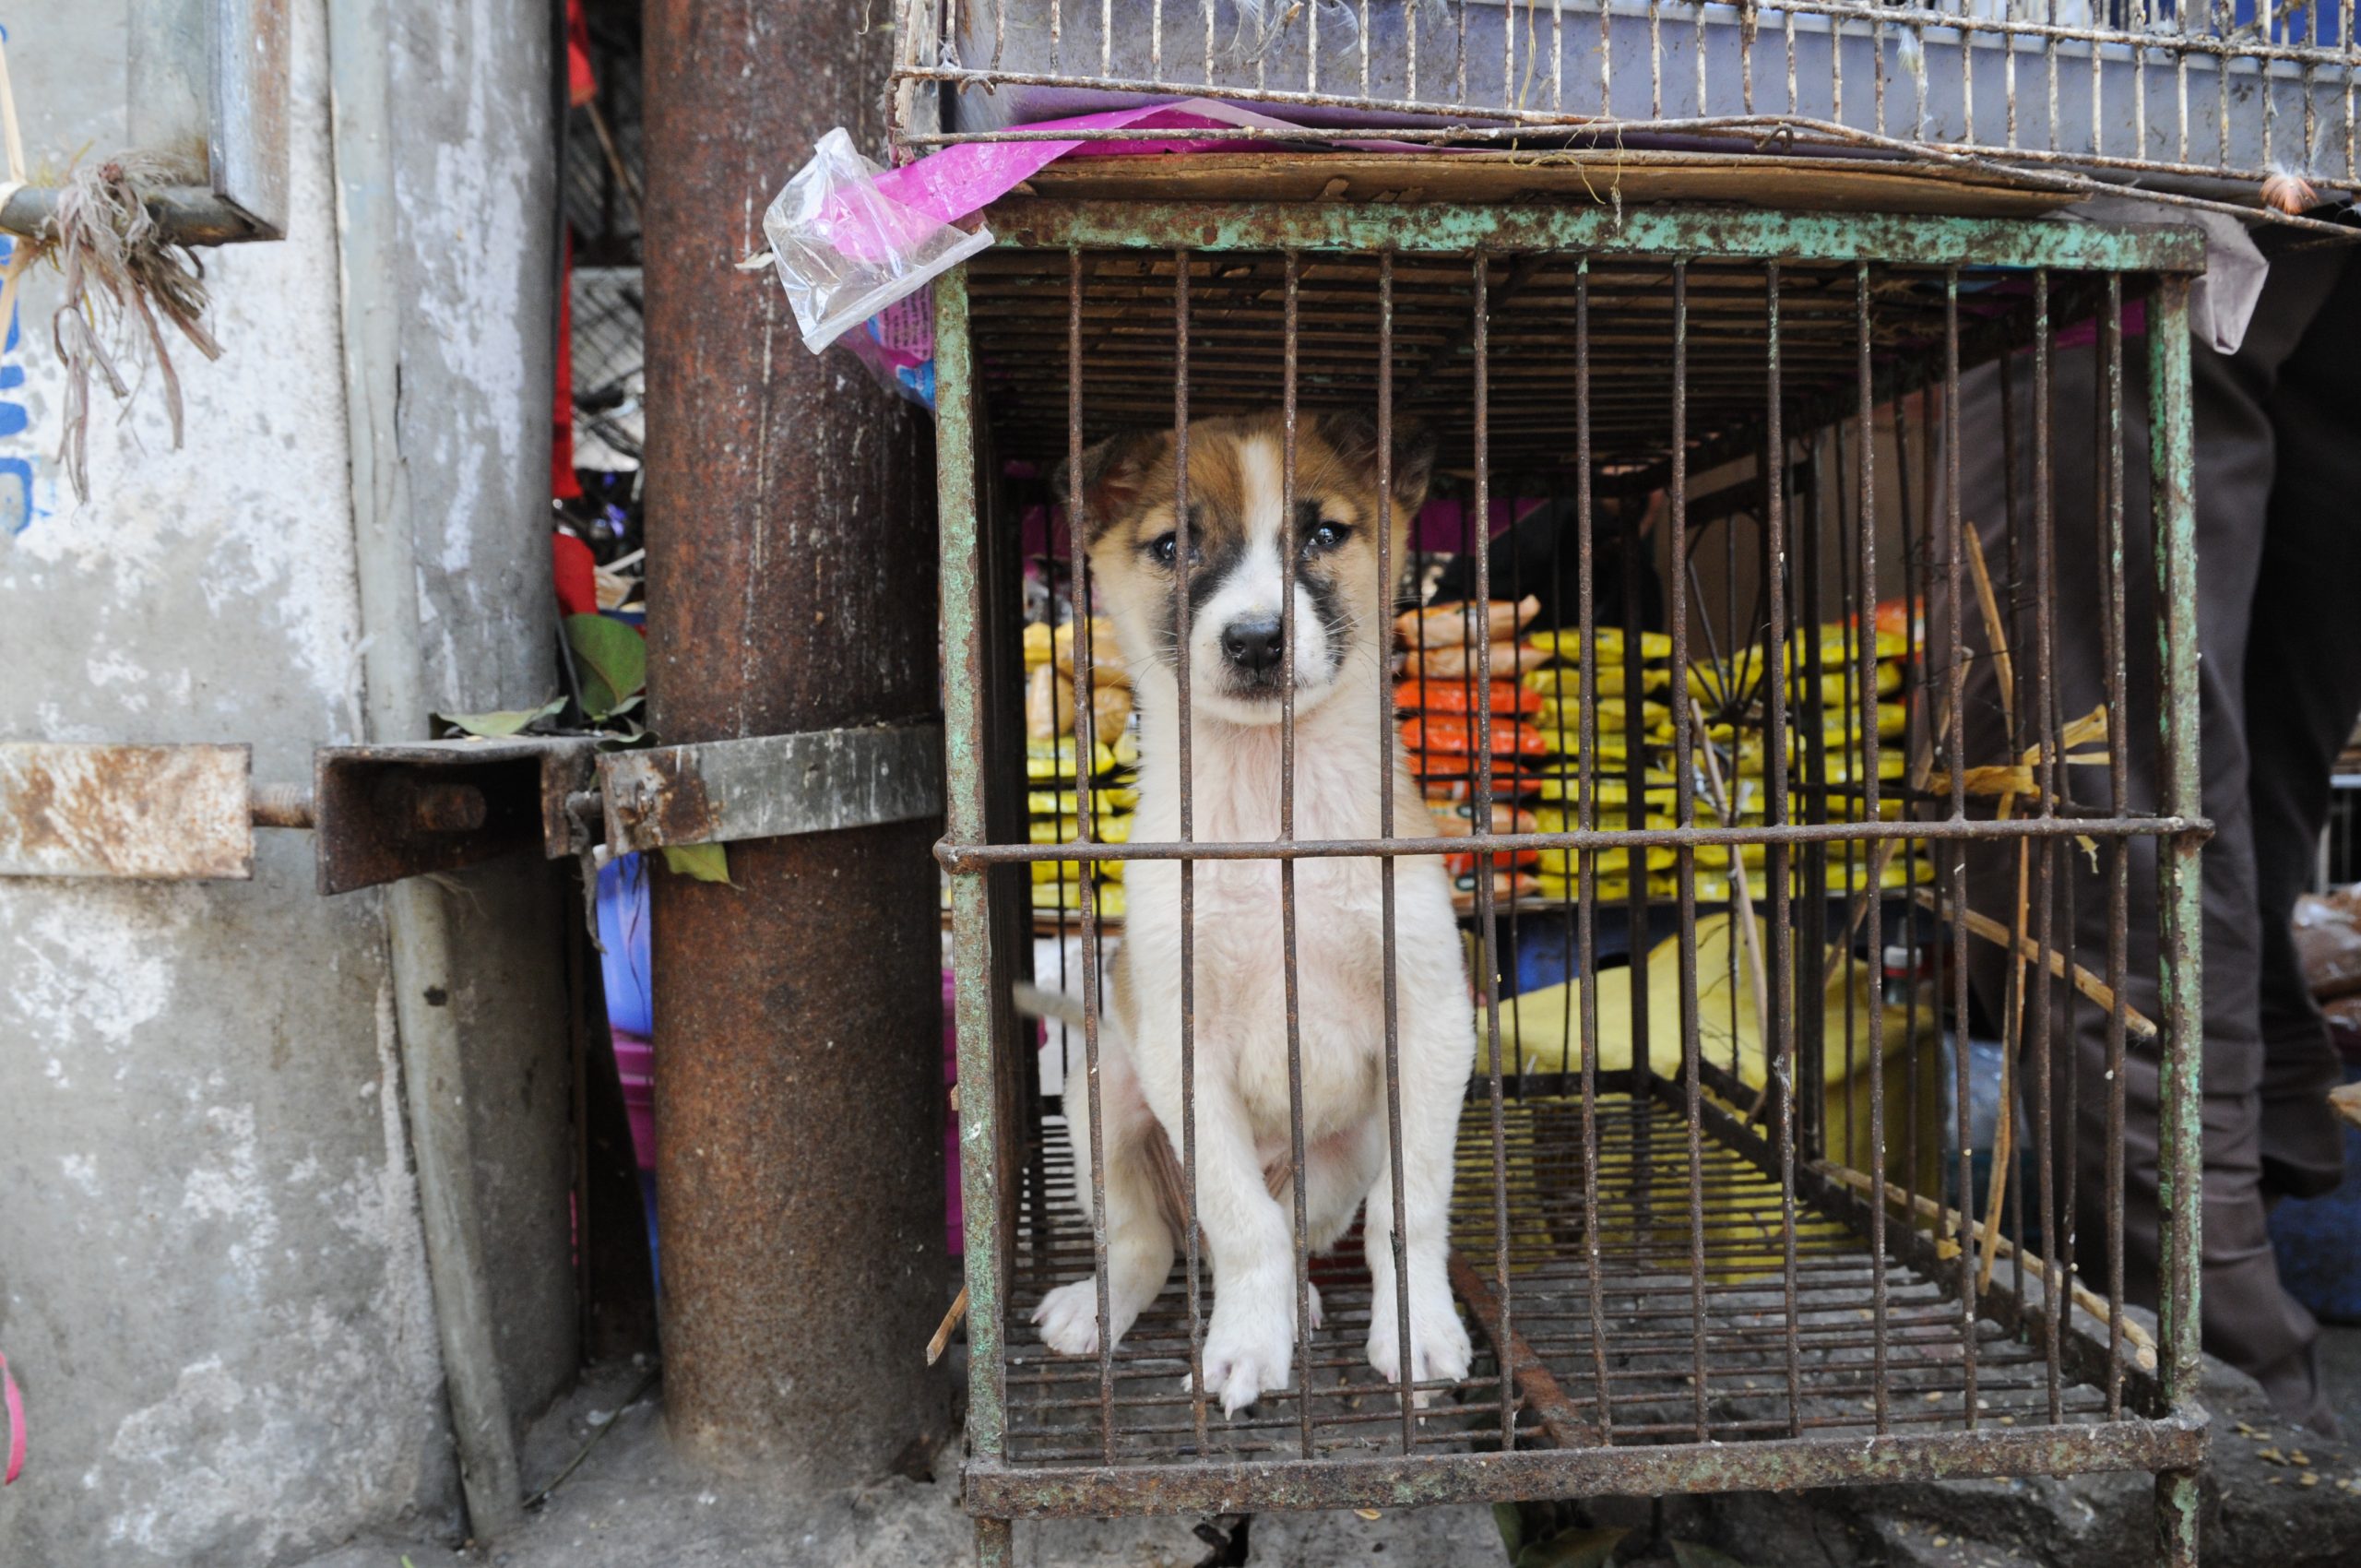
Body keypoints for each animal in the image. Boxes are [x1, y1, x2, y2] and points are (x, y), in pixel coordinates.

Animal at [1029, 410, 1473, 1417]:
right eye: (1173, 545)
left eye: (1324, 534)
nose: (1257, 640)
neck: (1273, 806)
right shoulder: (1178, 1041)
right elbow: (1241, 1219)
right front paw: (1242, 1346)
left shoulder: (1429, 1019)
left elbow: (1411, 1209)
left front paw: (1416, 1331)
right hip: (1099, 1099)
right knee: (1152, 1239)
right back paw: (1097, 1307)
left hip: (1341, 1152)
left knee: (1296, 1227)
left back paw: (1300, 1304)